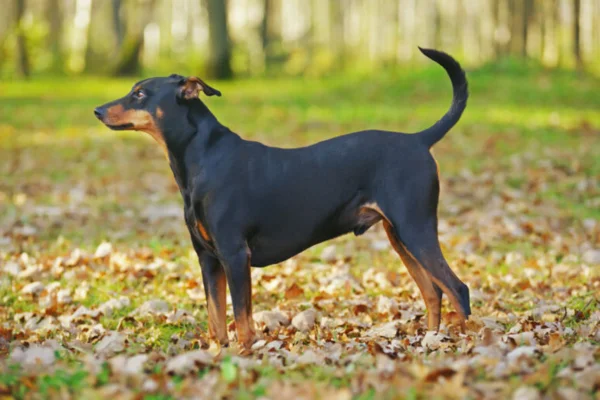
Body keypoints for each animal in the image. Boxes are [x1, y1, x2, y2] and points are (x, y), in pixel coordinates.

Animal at [95, 48, 468, 352]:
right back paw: (430, 341)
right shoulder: (207, 258)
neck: (202, 160)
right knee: (434, 292)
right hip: (399, 236)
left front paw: (245, 355)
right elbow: (216, 320)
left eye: (140, 94)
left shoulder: (234, 255)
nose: (97, 110)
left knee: (458, 290)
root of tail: (419, 140)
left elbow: (242, 319)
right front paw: (217, 356)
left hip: (415, 228)